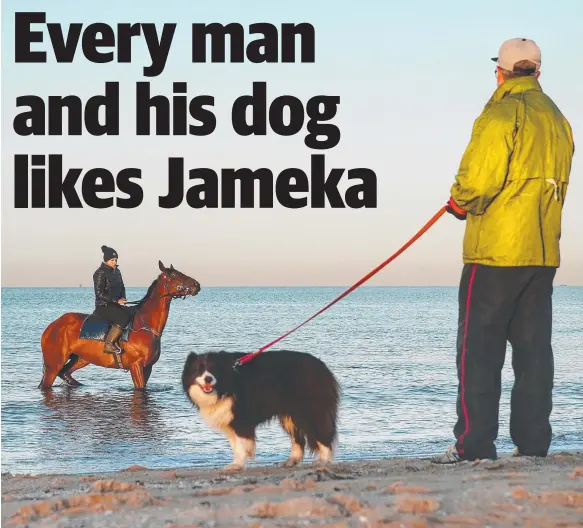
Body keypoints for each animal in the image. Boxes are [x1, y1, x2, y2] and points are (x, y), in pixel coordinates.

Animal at [39, 262, 201, 390]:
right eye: (173, 275)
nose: (196, 285)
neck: (145, 325)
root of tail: (52, 326)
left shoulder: (147, 368)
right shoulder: (136, 366)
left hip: (81, 358)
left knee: (65, 373)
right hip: (54, 365)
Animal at [180, 350, 340, 470]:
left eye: (213, 370)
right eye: (198, 370)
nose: (208, 379)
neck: (227, 383)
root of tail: (324, 368)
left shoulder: (241, 418)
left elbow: (241, 444)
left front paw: (237, 465)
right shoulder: (230, 419)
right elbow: (235, 444)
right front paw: (236, 463)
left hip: (309, 411)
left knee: (323, 433)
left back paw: (323, 460)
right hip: (289, 415)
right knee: (298, 438)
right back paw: (291, 461)